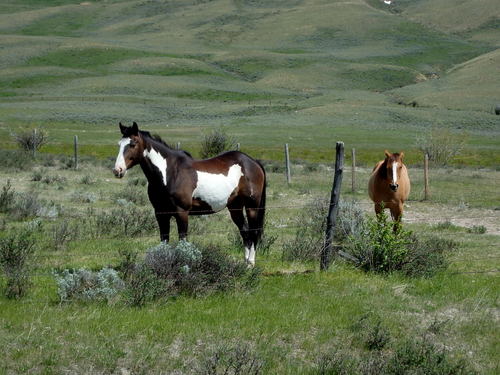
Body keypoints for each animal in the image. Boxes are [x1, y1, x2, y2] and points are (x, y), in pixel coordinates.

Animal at [111, 122, 264, 266]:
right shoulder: (161, 213)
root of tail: (253, 162)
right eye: (119, 144)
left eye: (132, 143)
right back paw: (245, 264)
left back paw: (251, 263)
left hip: (251, 207)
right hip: (235, 207)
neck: (170, 173)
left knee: (254, 232)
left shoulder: (182, 212)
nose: (117, 170)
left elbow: (182, 240)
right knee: (245, 232)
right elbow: (164, 240)